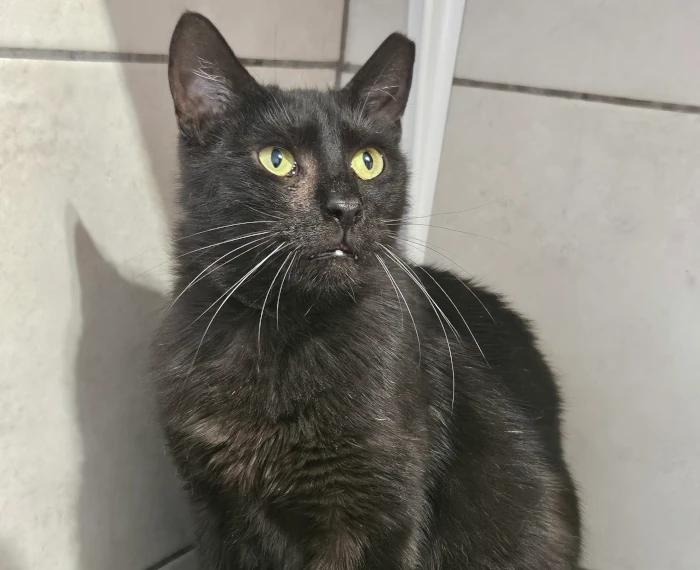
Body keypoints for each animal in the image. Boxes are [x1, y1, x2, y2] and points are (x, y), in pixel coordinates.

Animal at [152, 12, 581, 570]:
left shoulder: (375, 518)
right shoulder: (212, 508)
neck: (283, 331)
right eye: (276, 158)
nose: (346, 208)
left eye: (369, 161)